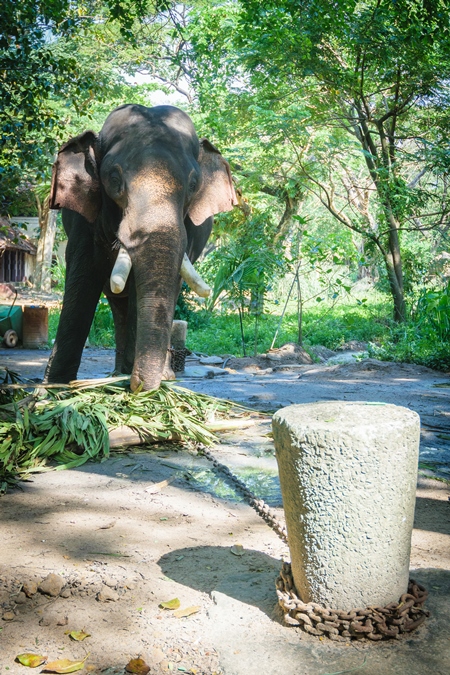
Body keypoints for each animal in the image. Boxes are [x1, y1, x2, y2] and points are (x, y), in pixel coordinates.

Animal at [44, 104, 237, 390]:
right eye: (114, 178)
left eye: (193, 185)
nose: (137, 384)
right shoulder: (84, 215)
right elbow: (83, 275)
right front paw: (54, 387)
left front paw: (136, 383)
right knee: (116, 301)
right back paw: (118, 373)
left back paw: (149, 374)